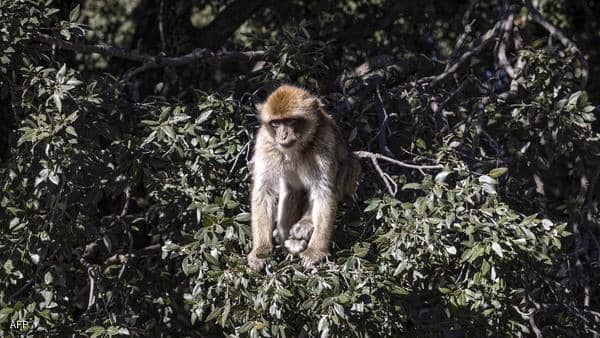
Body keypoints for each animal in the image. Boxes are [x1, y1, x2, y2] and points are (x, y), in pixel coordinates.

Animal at [245, 85, 358, 272]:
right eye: (275, 123)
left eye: (290, 121)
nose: (283, 135)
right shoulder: (266, 142)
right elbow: (264, 190)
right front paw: (260, 250)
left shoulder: (323, 140)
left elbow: (323, 191)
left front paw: (315, 251)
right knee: (290, 191)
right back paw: (291, 244)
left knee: (347, 167)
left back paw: (305, 225)